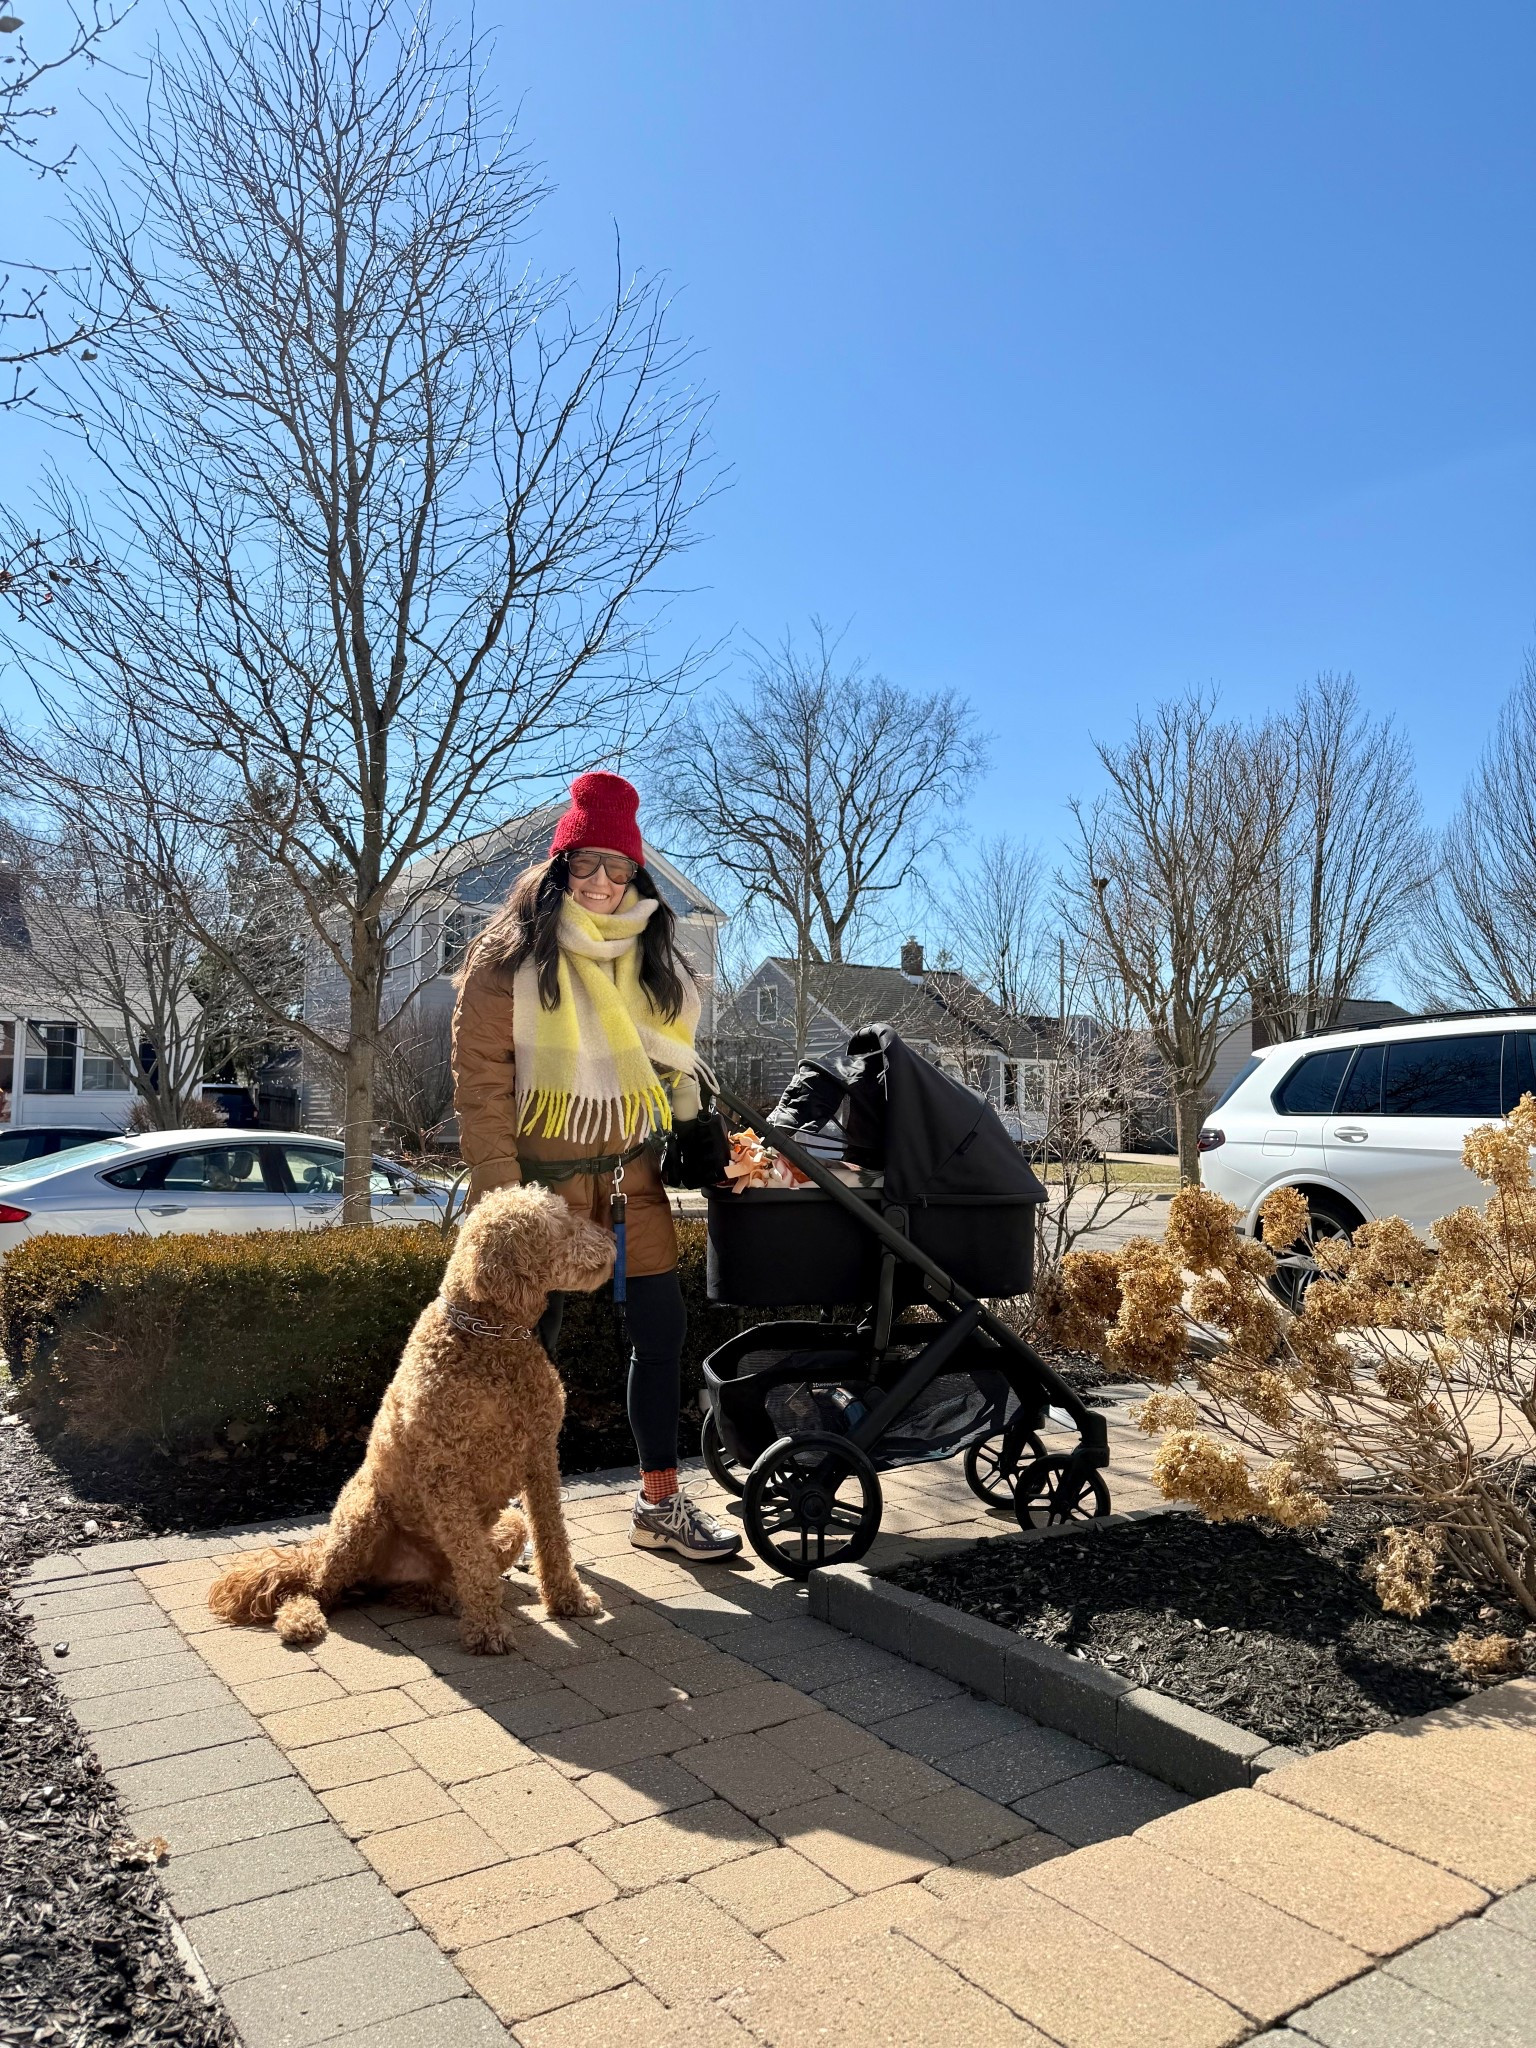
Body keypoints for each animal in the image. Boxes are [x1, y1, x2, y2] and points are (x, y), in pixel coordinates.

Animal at [207, 1183, 615, 1653]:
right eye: (562, 1226)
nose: (612, 1240)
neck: (489, 1337)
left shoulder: (541, 1457)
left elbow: (553, 1538)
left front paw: (568, 1599)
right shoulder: (444, 1472)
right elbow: (475, 1563)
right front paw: (487, 1629)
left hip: (507, 1524)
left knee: (416, 1585)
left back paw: (440, 1596)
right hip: (361, 1516)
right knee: (312, 1587)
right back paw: (302, 1619)